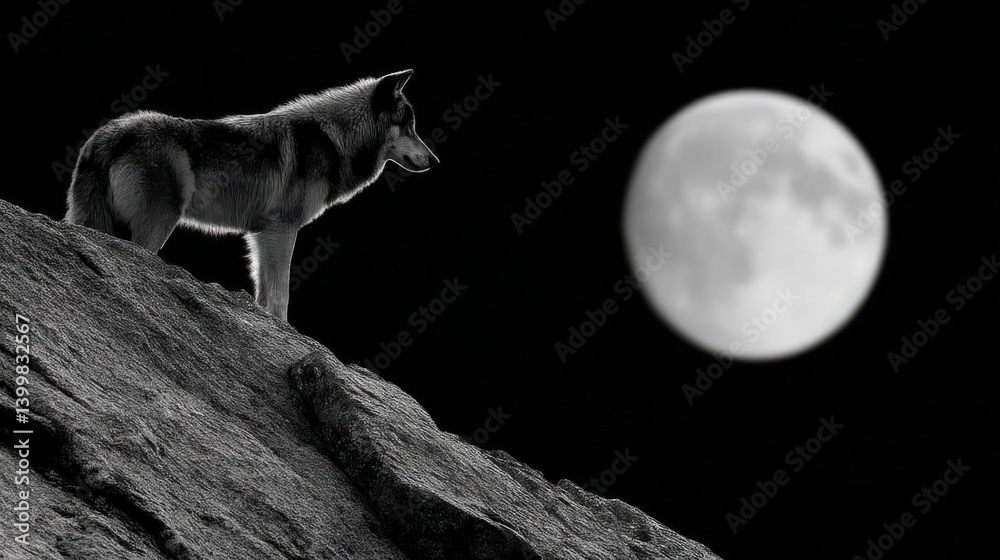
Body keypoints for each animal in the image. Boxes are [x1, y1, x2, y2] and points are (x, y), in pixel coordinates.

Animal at [65, 69, 438, 321]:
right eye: (409, 126)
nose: (435, 161)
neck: (334, 139)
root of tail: (107, 135)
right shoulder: (281, 229)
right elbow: (280, 296)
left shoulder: (260, 235)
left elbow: (263, 293)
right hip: (157, 226)